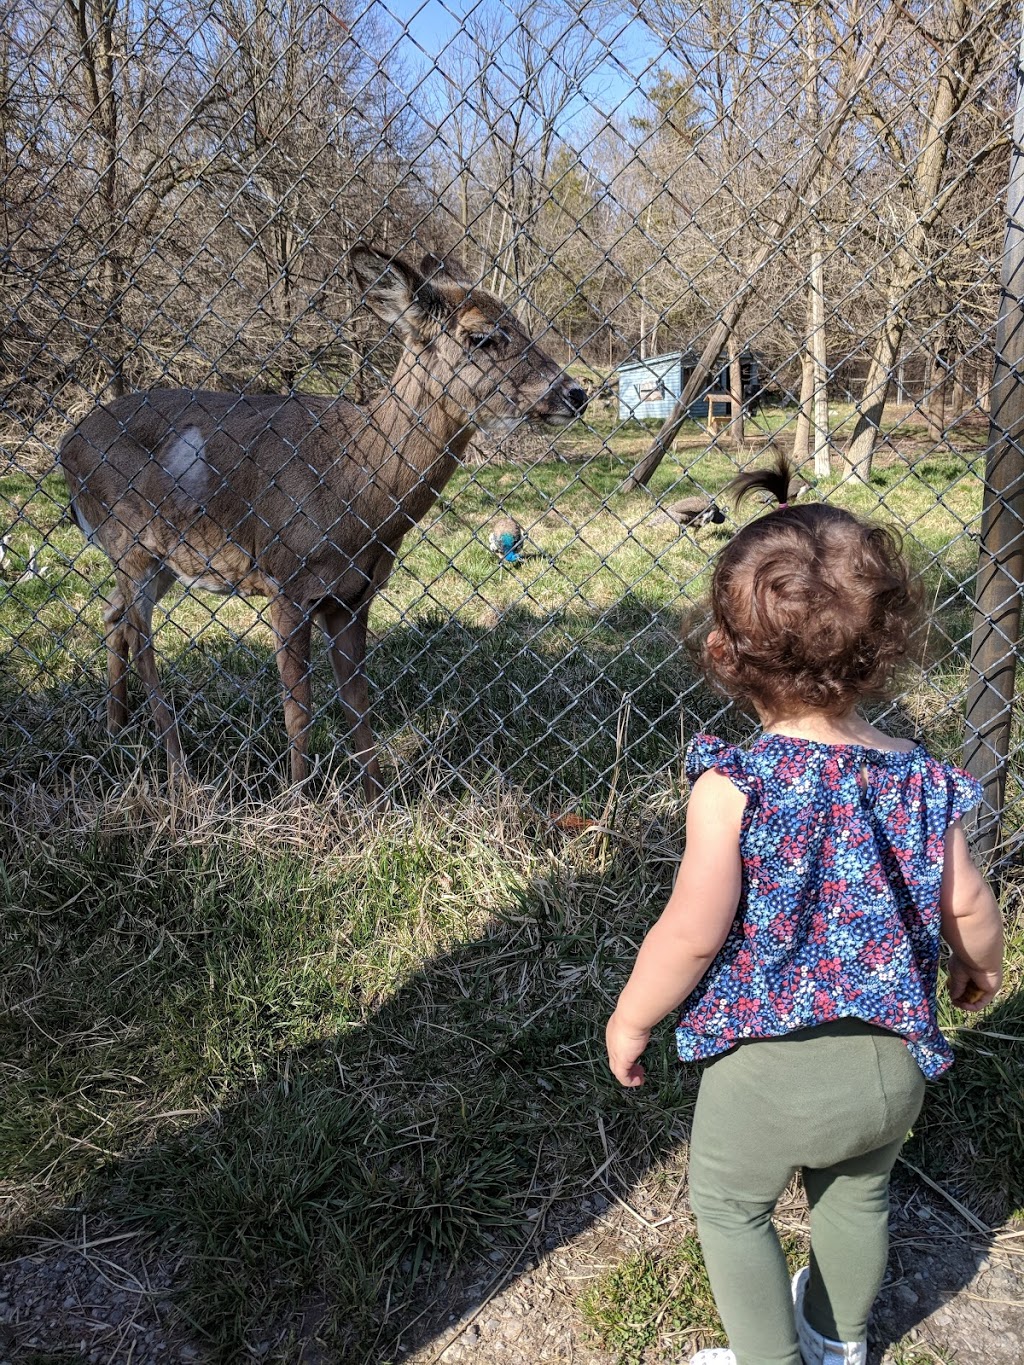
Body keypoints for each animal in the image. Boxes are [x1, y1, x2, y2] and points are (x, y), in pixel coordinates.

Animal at [60, 251, 589, 797]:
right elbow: (299, 711)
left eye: (522, 323)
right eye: (481, 336)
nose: (576, 392)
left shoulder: (354, 597)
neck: (355, 486)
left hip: (166, 558)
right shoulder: (286, 580)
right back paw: (178, 773)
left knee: (113, 617)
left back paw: (116, 731)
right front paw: (295, 801)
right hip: (129, 541)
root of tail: (65, 445)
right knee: (141, 639)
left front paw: (378, 802)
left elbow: (358, 704)